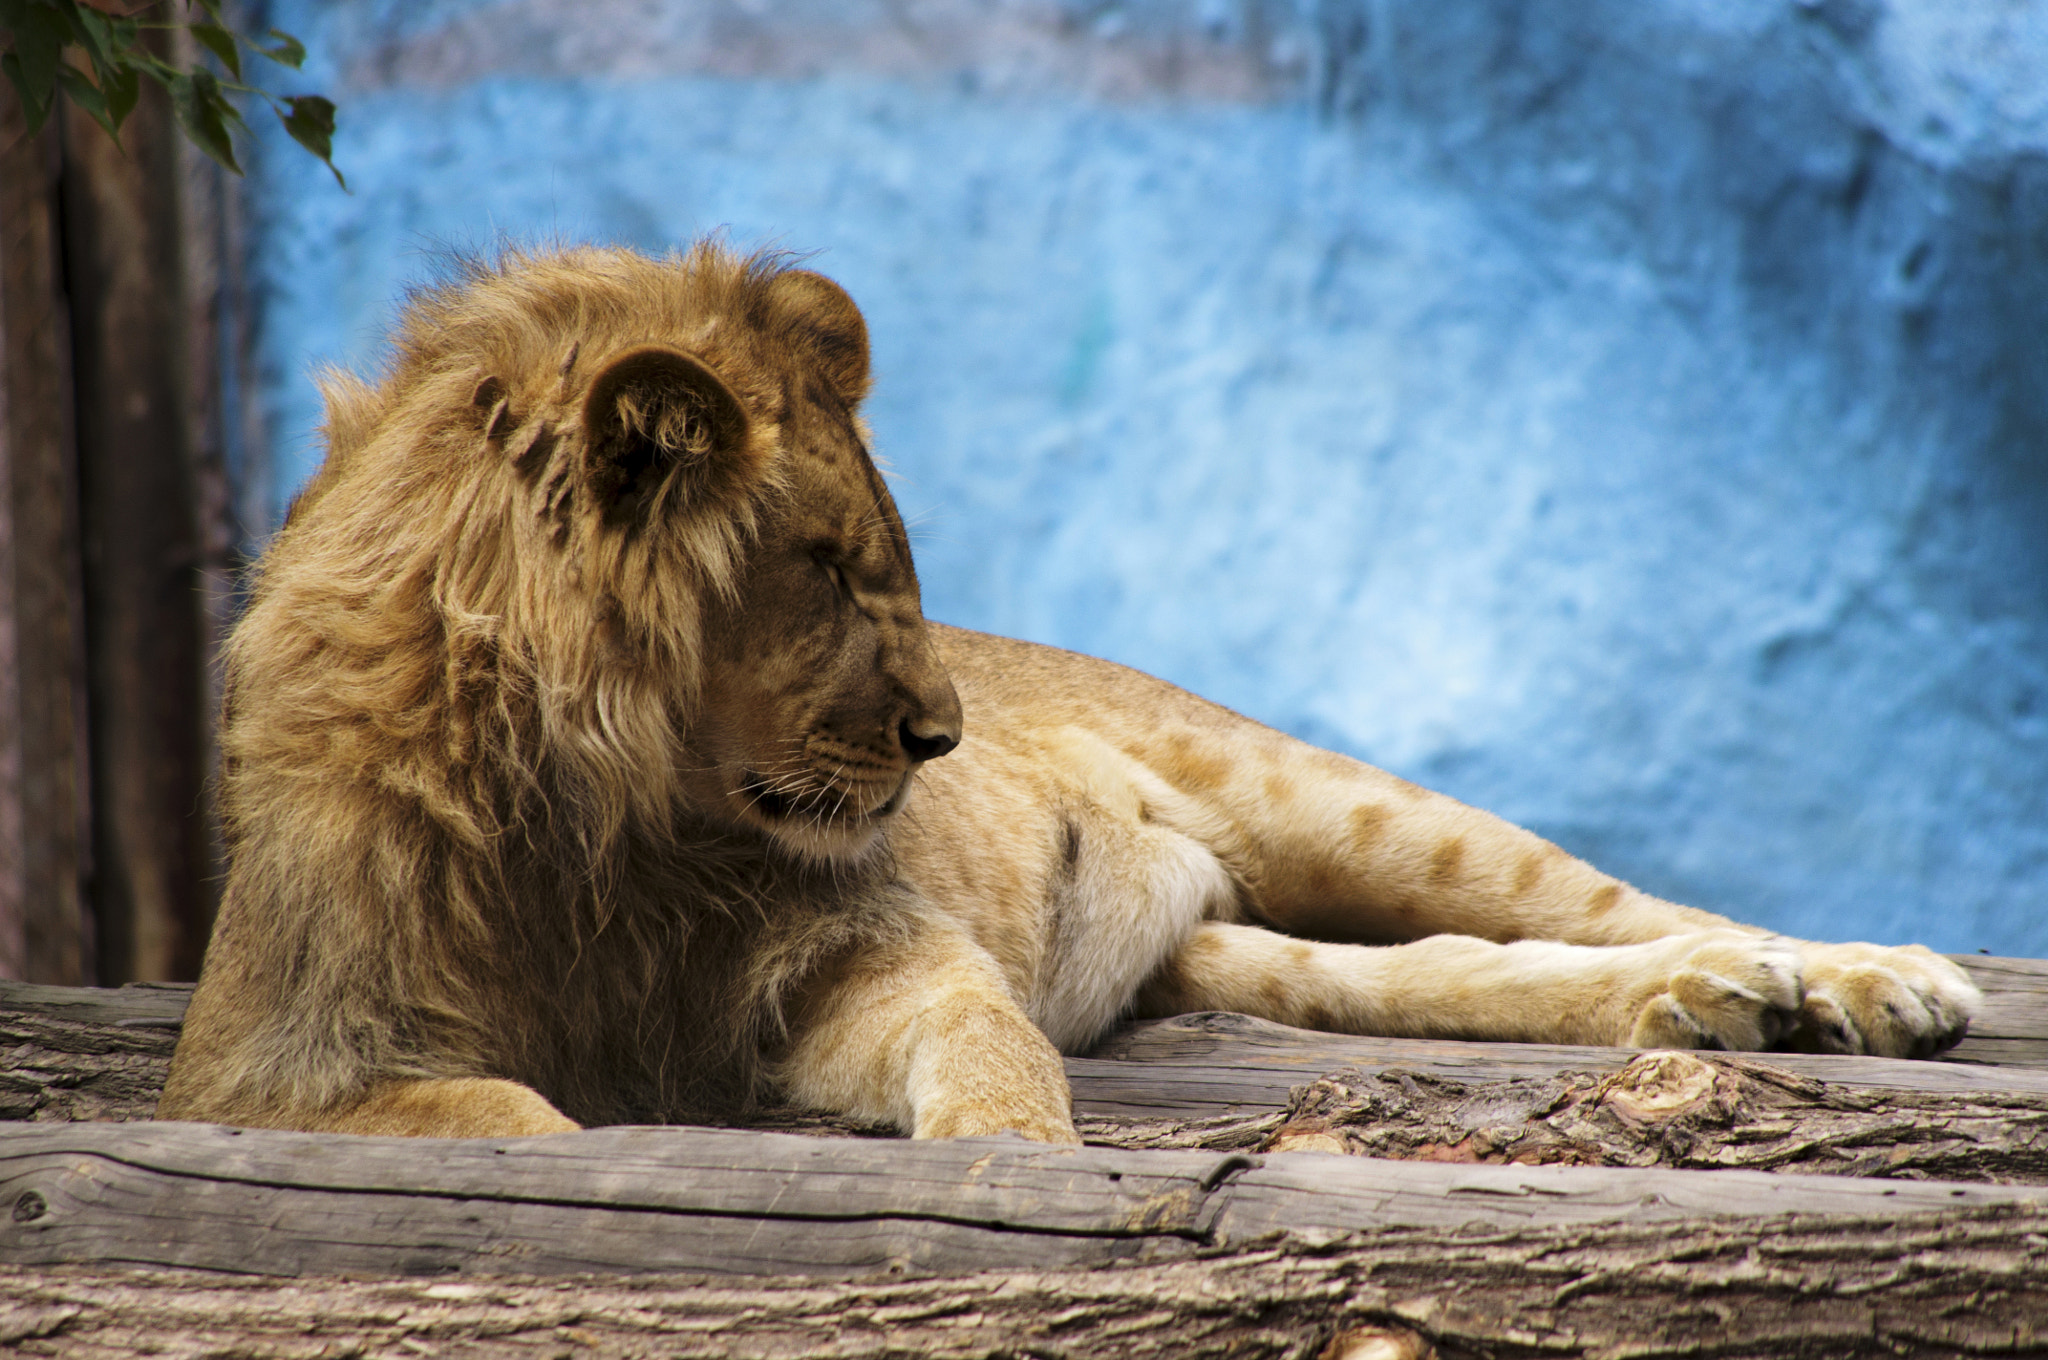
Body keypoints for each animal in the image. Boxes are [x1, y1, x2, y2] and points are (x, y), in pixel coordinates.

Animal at [159, 246, 1982, 1146]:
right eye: (832, 571)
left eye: (887, 564)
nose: (942, 733)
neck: (600, 823)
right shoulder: (260, 1060)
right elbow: (503, 1122)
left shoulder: (855, 960)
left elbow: (988, 1059)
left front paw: (1009, 1171)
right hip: (1244, 946)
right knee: (1445, 975)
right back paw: (1712, 1007)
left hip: (1333, 802)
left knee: (1606, 904)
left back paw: (1850, 980)